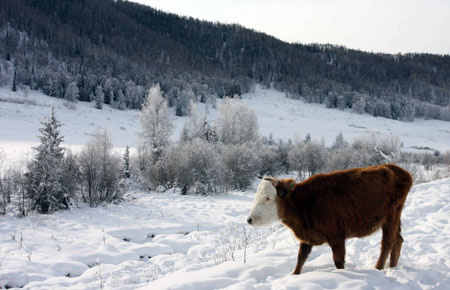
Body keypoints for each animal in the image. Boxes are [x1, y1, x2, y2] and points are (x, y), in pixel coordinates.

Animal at [248, 163, 414, 274]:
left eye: (268, 198)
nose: (249, 219)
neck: (305, 202)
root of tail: (397, 169)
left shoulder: (337, 237)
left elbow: (338, 261)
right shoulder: (307, 237)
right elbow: (300, 259)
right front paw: (294, 276)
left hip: (390, 216)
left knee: (387, 242)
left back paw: (378, 268)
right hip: (395, 218)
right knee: (398, 240)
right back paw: (393, 267)